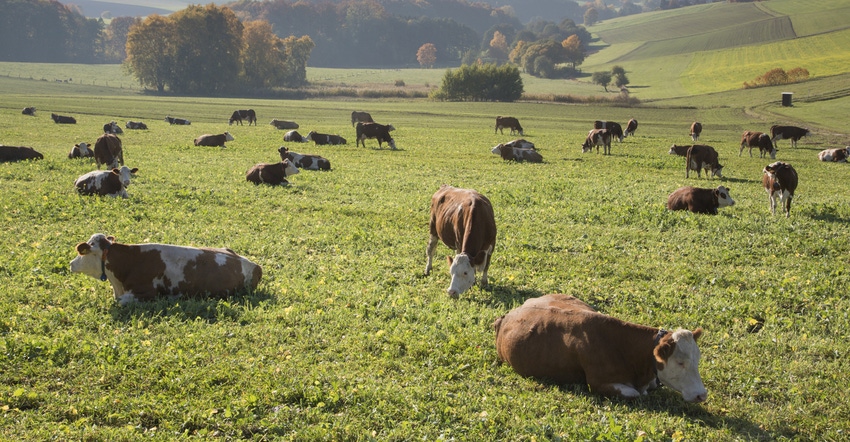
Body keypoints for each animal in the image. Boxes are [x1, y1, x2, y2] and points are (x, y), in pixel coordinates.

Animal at [494, 296, 704, 402]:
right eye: (680, 362)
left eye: (697, 361)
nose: (702, 395)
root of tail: (508, 315)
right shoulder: (597, 383)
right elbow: (634, 393)